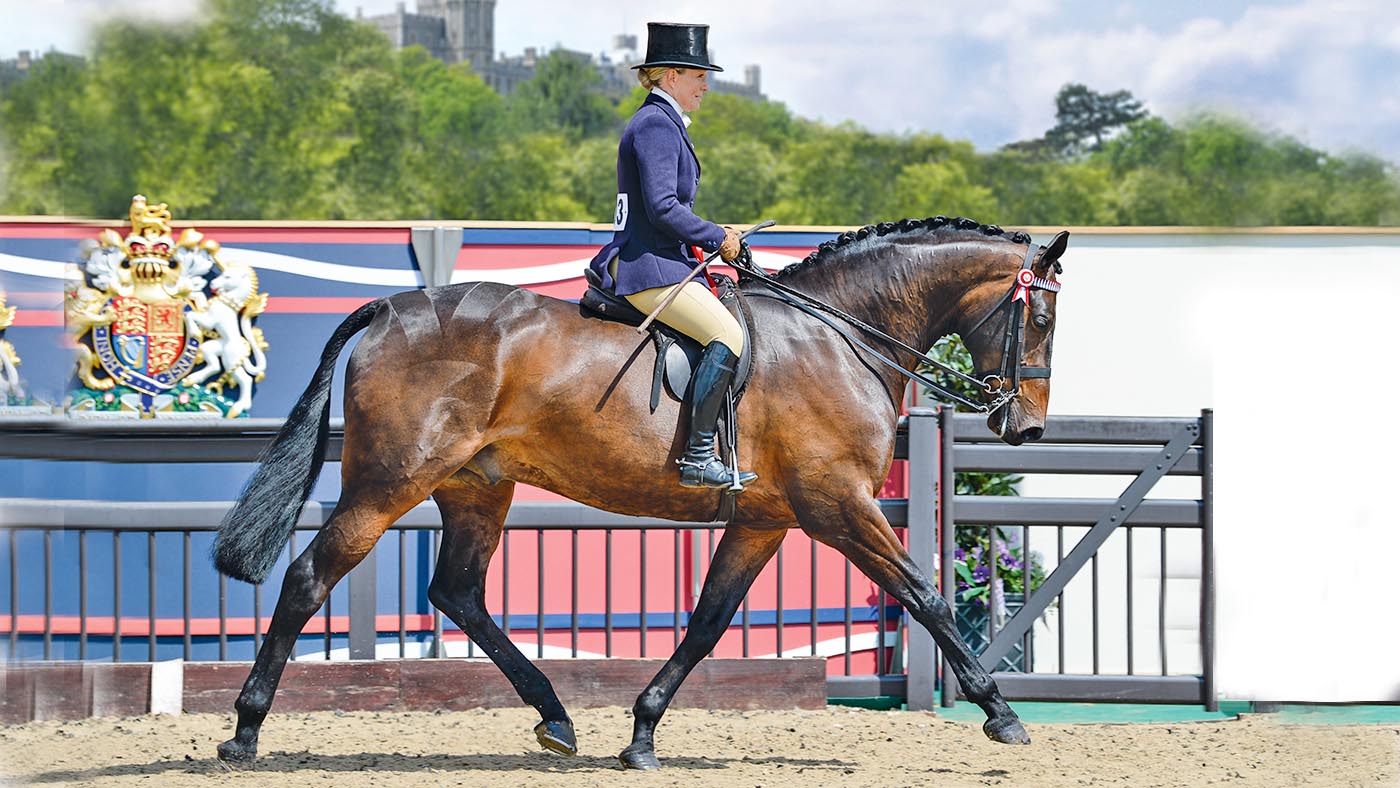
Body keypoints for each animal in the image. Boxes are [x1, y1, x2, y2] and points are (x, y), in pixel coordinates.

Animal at [211, 215, 1067, 770]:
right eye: (1044, 317)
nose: (1025, 427)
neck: (841, 335)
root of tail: (392, 308)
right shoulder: (839, 506)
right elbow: (926, 596)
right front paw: (1002, 715)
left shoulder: (764, 521)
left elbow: (708, 622)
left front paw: (643, 733)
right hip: (391, 481)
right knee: (310, 577)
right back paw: (245, 732)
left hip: (476, 486)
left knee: (458, 593)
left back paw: (556, 719)